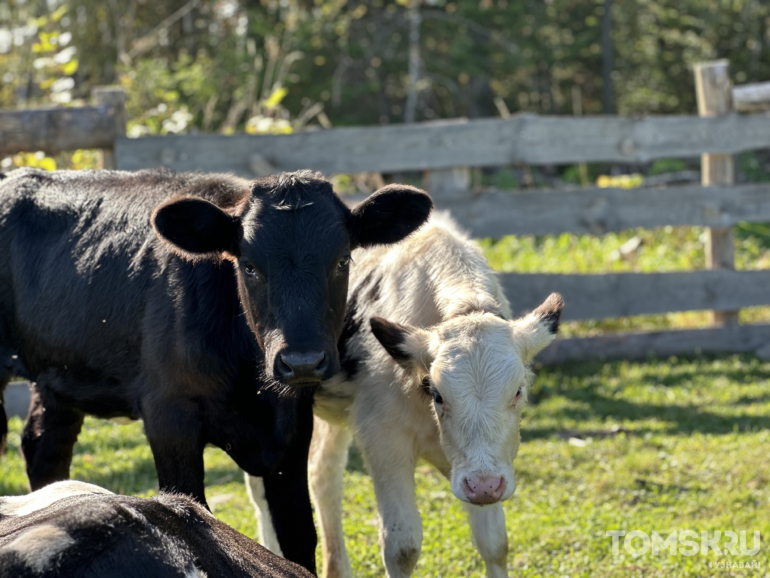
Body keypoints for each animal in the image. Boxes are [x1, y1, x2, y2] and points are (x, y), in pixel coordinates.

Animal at [249, 212, 560, 576]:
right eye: (436, 394)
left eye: (518, 391)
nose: (483, 486)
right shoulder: (384, 440)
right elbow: (403, 546)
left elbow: (494, 542)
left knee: (323, 477)